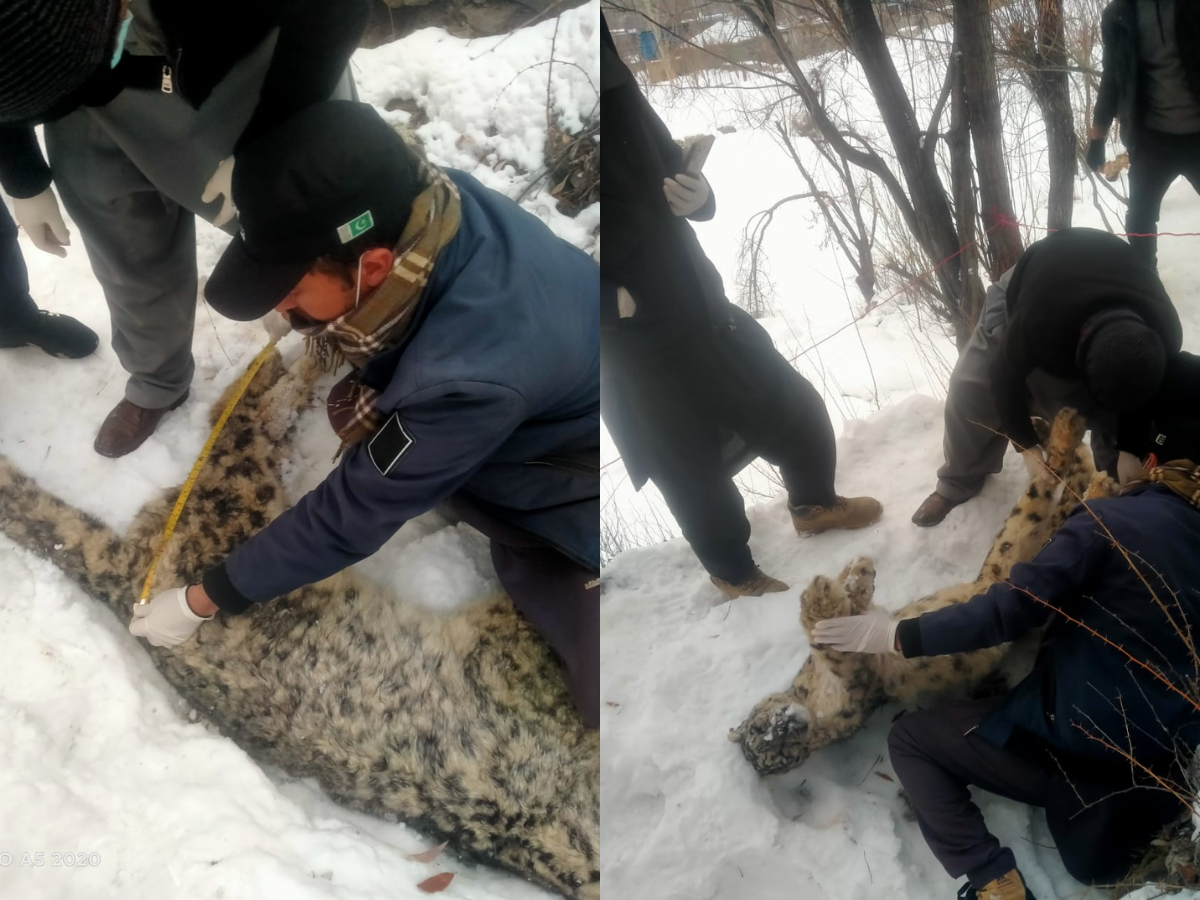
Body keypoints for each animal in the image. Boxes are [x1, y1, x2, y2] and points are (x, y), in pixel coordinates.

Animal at [729, 407, 1118, 777]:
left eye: (761, 728)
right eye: (773, 754)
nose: (782, 727)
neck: (810, 695)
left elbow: (850, 610)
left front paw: (853, 574)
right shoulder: (857, 686)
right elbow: (836, 651)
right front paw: (821, 596)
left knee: (1056, 479)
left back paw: (1056, 432)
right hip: (1017, 555)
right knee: (1056, 493)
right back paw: (1094, 474)